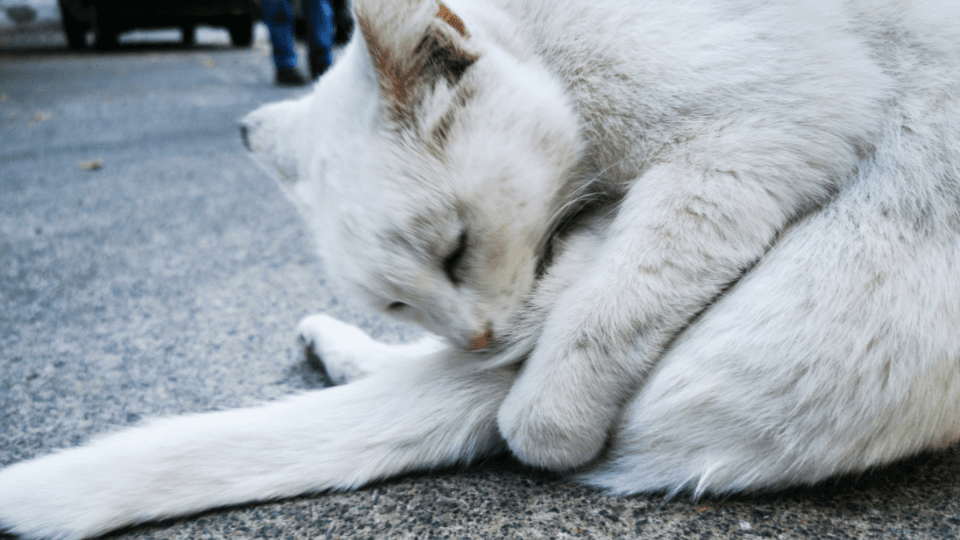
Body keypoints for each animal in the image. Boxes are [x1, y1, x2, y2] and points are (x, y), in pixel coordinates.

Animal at [1, 0, 960, 536]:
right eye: (399, 298)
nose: (477, 335)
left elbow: (598, 322)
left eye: (455, 250)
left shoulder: (753, 139)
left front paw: (547, 419)